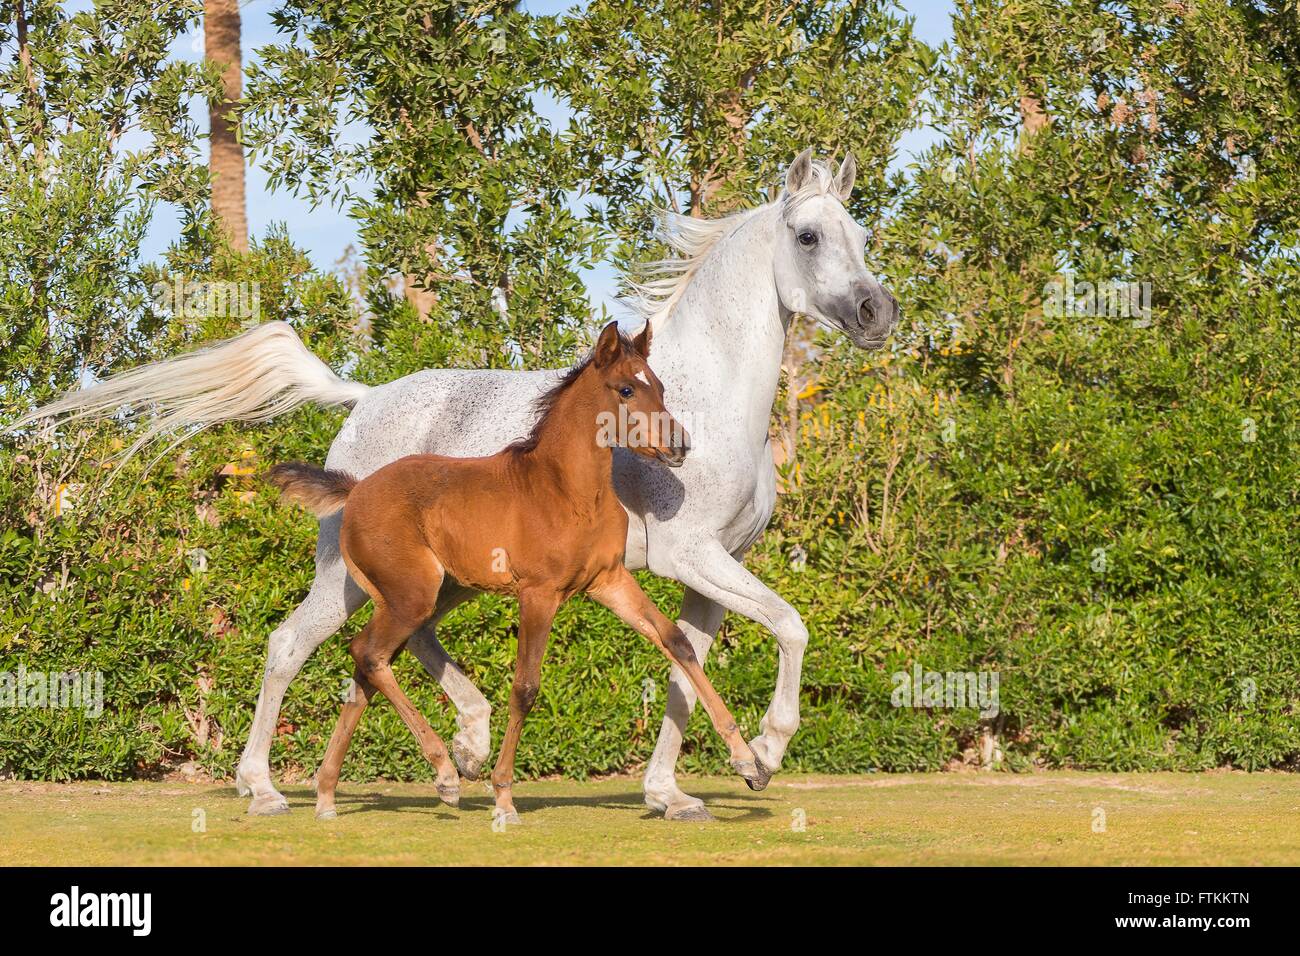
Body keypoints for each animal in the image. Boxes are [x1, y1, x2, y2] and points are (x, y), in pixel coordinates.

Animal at [268, 321, 765, 821]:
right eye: (626, 389)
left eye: (660, 387)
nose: (680, 445)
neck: (567, 490)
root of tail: (355, 491)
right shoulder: (539, 594)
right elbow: (525, 687)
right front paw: (503, 798)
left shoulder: (608, 580)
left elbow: (676, 641)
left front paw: (751, 763)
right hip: (411, 596)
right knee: (367, 654)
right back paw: (443, 774)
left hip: (400, 599)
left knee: (366, 665)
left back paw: (327, 794)